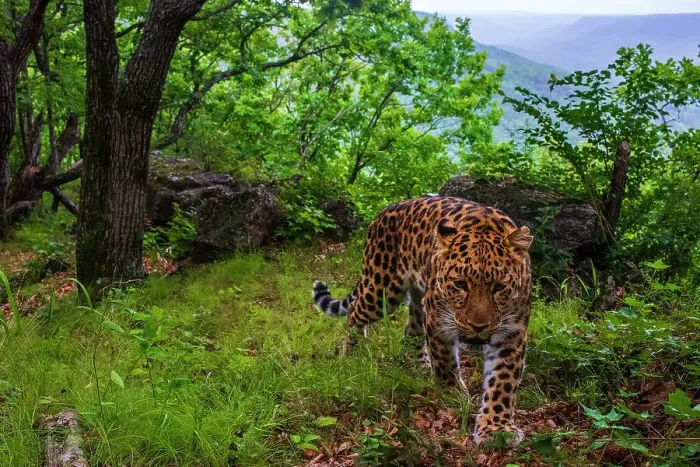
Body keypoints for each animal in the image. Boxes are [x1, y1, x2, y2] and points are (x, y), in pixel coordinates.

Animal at [312, 196, 533, 446]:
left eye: (500, 287)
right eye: (460, 284)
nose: (478, 326)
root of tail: (387, 209)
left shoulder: (512, 331)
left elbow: (503, 381)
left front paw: (497, 427)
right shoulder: (439, 320)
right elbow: (445, 363)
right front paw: (453, 395)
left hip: (418, 298)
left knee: (410, 332)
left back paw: (421, 367)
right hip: (381, 291)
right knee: (355, 313)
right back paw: (350, 353)